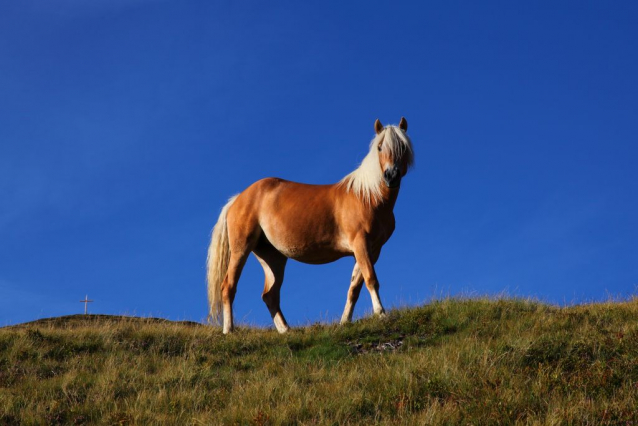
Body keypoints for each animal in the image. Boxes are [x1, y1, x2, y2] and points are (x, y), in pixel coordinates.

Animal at [205, 116, 416, 332]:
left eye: (402, 146)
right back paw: (229, 330)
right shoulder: (360, 244)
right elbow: (371, 279)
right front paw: (381, 314)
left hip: (273, 257)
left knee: (270, 295)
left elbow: (354, 288)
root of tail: (237, 198)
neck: (367, 196)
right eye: (380, 147)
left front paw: (345, 322)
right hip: (241, 248)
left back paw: (286, 331)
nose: (391, 176)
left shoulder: (372, 250)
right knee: (228, 286)